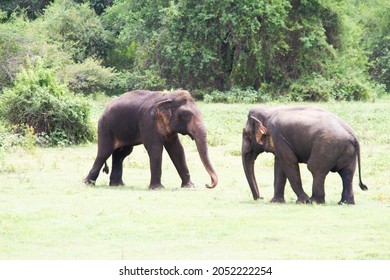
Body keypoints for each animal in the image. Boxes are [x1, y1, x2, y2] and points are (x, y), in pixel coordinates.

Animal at [85, 89, 218, 190]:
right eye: (187, 115)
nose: (207, 184)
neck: (167, 97)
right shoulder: (148, 121)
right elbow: (155, 149)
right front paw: (158, 188)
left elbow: (177, 150)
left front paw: (190, 186)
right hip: (105, 127)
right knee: (104, 153)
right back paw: (88, 183)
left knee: (122, 154)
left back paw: (117, 185)